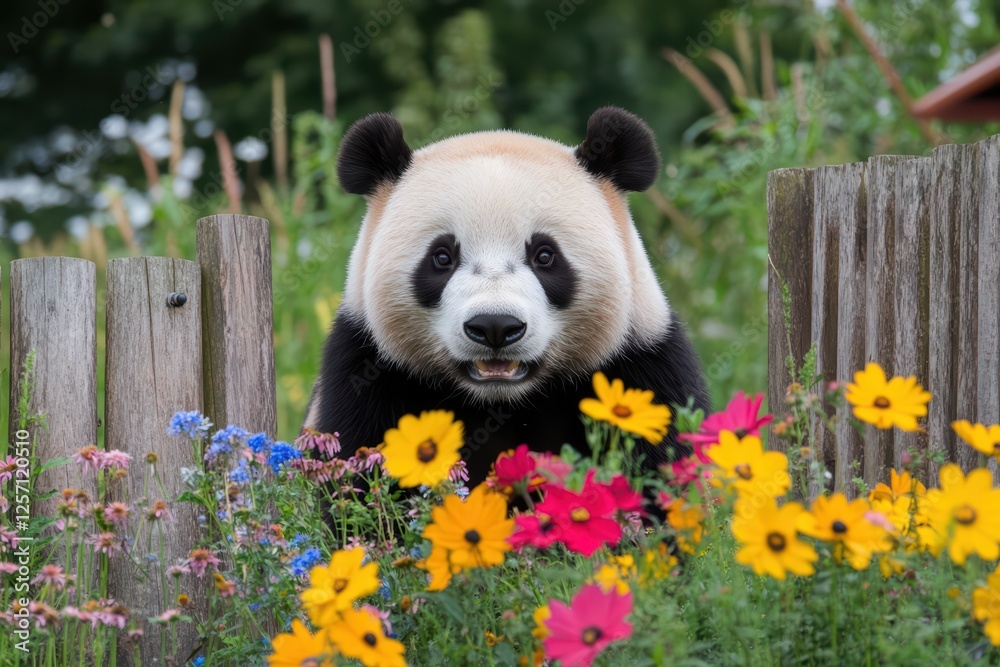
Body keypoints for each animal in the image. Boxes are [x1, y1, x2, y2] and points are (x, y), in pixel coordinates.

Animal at [303, 106, 710, 485]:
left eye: (545, 256)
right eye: (441, 257)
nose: (495, 327)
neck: (500, 400)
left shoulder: (642, 365)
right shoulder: (367, 371)